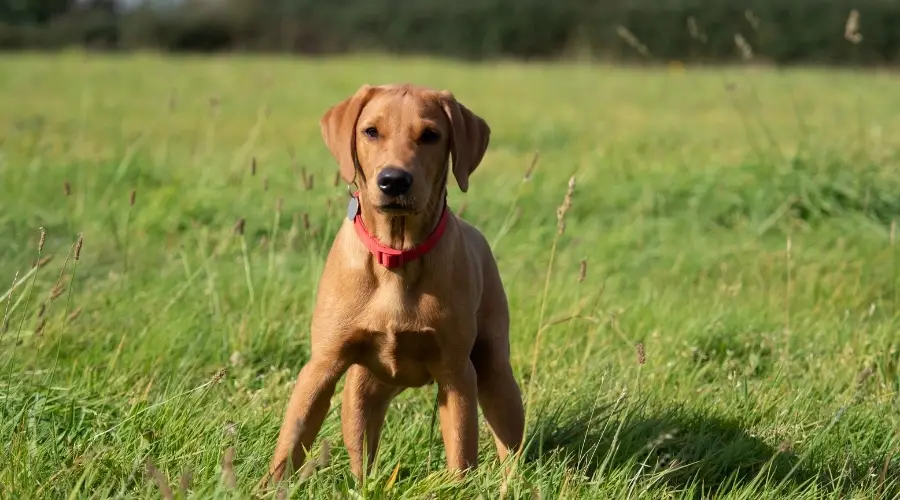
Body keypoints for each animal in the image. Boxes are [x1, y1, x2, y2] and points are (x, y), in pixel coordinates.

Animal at [260, 84, 528, 486]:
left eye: (430, 135)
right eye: (371, 131)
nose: (394, 180)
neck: (397, 255)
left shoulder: (456, 372)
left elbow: (462, 450)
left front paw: (457, 489)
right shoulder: (321, 366)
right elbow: (292, 439)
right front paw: (267, 487)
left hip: (495, 372)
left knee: (508, 443)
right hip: (362, 392)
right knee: (361, 456)